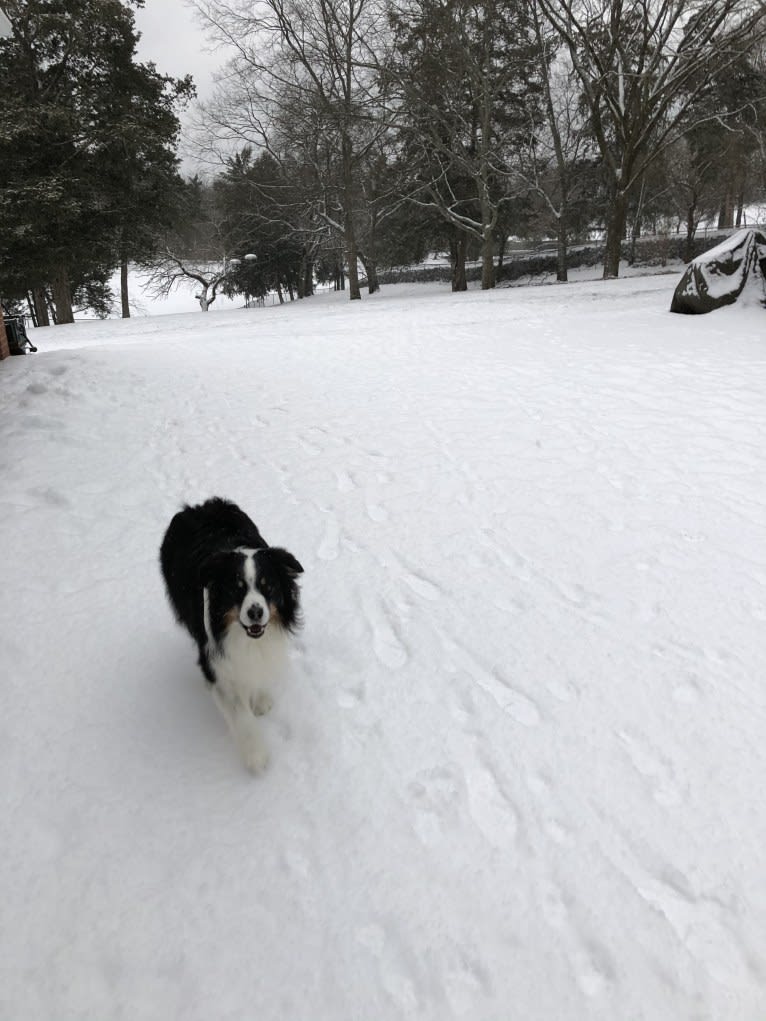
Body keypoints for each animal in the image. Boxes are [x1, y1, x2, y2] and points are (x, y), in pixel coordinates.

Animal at [159, 498, 302, 767]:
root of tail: (198, 506)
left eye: (268, 586)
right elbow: (238, 710)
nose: (255, 612)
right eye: (237, 589)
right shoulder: (215, 657)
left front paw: (261, 700)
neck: (245, 637)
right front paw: (256, 757)